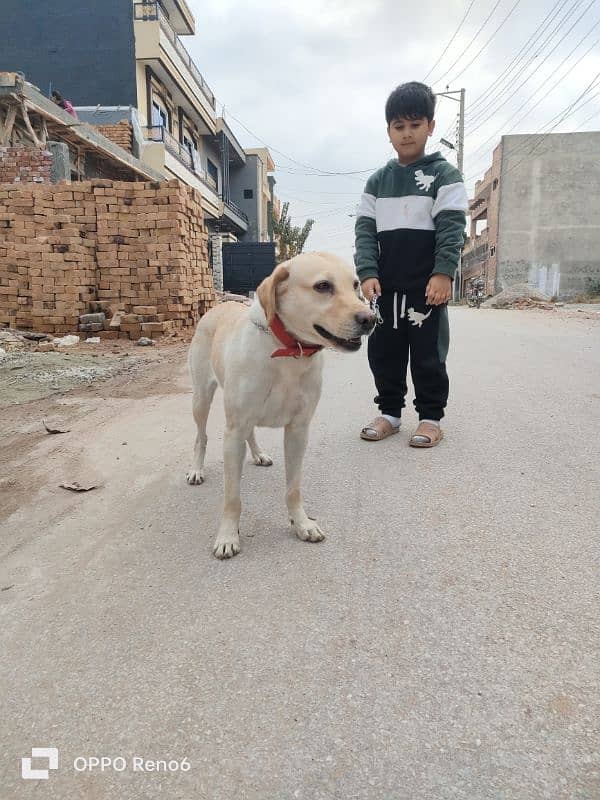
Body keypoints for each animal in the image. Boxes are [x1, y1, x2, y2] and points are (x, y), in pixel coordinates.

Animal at [188, 253, 376, 560]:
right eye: (323, 286)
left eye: (356, 285)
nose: (371, 319)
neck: (289, 352)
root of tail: (220, 305)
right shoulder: (233, 431)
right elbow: (232, 497)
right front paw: (227, 535)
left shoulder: (299, 430)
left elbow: (293, 489)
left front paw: (302, 523)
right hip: (201, 398)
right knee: (201, 437)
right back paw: (196, 469)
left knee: (250, 433)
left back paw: (259, 454)